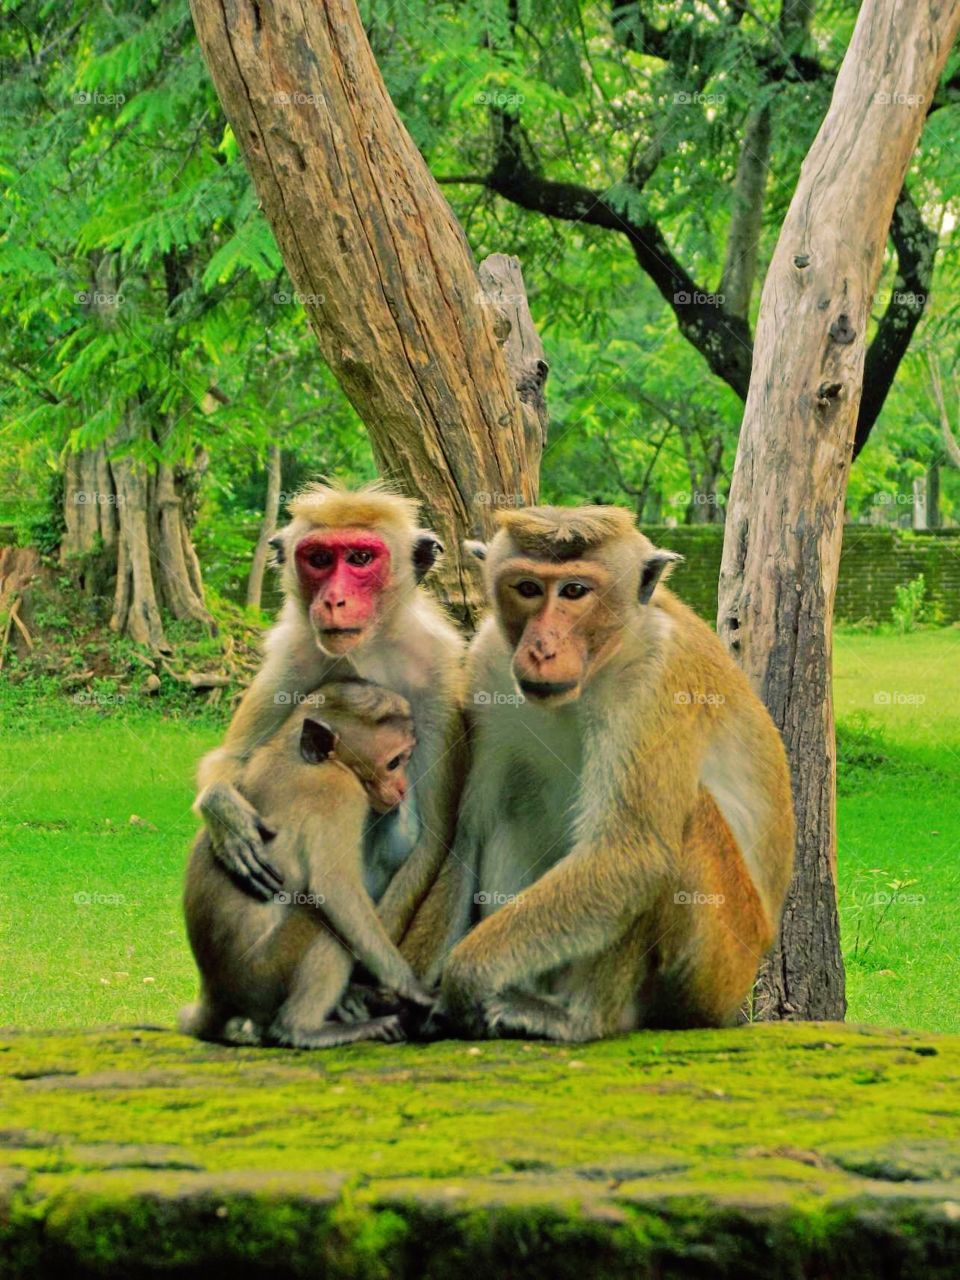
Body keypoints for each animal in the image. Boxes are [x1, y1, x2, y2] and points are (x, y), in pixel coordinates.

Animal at [182, 680, 435, 1048]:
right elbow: (334, 889)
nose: (402, 788)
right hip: (262, 976)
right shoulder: (340, 794)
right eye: (393, 763)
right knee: (325, 922)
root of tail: (214, 993)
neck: (303, 758)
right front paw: (411, 987)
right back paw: (301, 1029)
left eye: (405, 760)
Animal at [195, 482, 467, 963]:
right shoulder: (292, 656)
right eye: (320, 559)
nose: (333, 599)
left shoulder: (438, 676)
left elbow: (432, 837)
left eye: (360, 558)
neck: (368, 647)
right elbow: (233, 760)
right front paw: (225, 812)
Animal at [402, 504, 795, 1042]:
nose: (541, 648)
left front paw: (464, 977)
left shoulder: (656, 679)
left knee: (674, 835)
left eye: (574, 592)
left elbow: (631, 853)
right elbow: (471, 833)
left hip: (721, 966)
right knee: (513, 813)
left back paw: (582, 1018)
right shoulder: (486, 666)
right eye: (527, 587)